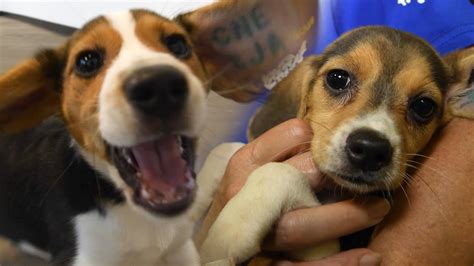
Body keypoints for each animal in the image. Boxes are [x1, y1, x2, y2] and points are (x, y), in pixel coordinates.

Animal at [200, 27, 474, 264]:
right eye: (338, 79)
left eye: (424, 106)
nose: (371, 149)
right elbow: (224, 148)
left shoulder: (323, 249)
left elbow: (282, 171)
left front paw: (229, 228)